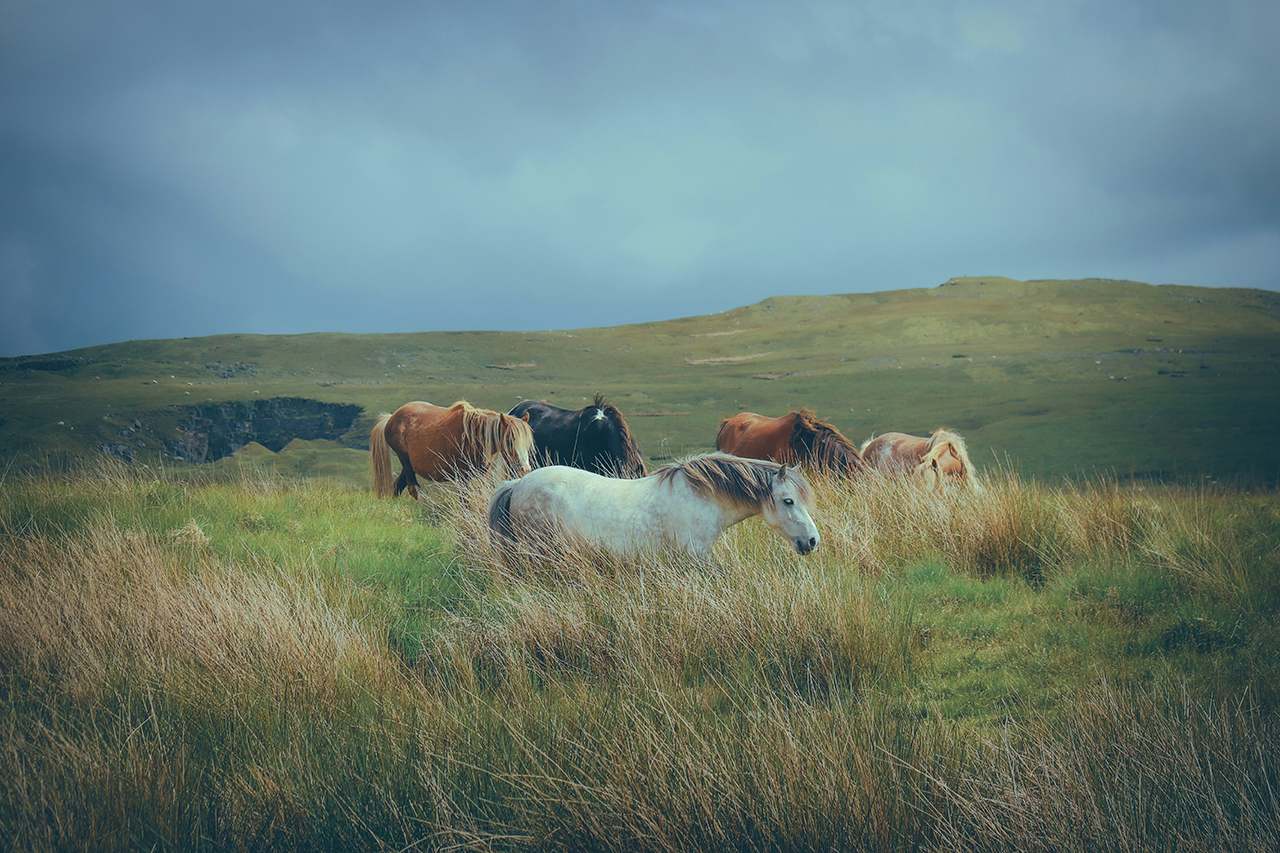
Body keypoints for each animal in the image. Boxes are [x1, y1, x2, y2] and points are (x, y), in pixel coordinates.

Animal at [368, 399, 532, 499]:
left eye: (528, 444)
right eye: (509, 441)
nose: (525, 469)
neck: (474, 436)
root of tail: (390, 418)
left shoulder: (482, 473)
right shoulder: (462, 476)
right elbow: (465, 500)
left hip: (409, 464)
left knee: (398, 486)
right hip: (404, 459)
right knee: (414, 489)